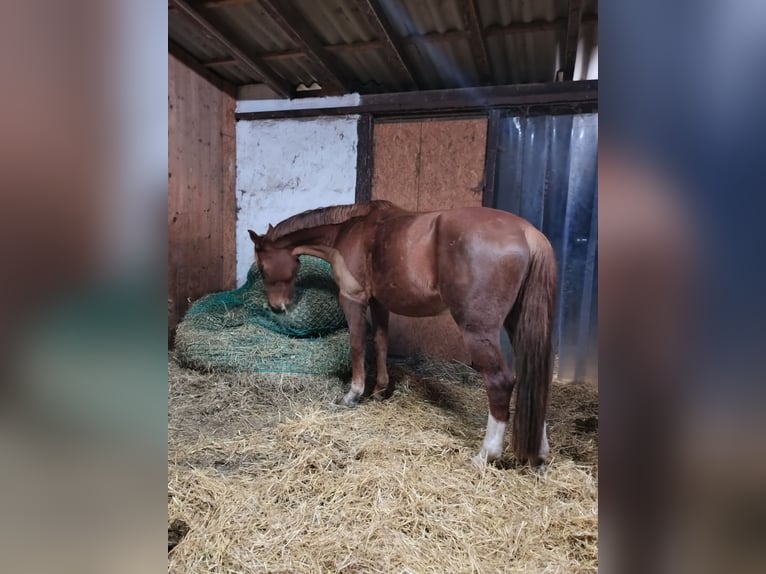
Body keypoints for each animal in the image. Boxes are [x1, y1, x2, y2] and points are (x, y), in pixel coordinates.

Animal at [252, 201, 560, 468]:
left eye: (263, 268)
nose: (277, 307)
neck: (350, 229)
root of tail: (528, 233)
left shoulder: (353, 298)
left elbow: (357, 345)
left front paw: (353, 394)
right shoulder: (379, 302)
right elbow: (381, 343)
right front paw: (380, 390)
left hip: (479, 330)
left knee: (500, 382)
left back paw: (486, 454)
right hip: (517, 323)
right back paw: (539, 453)